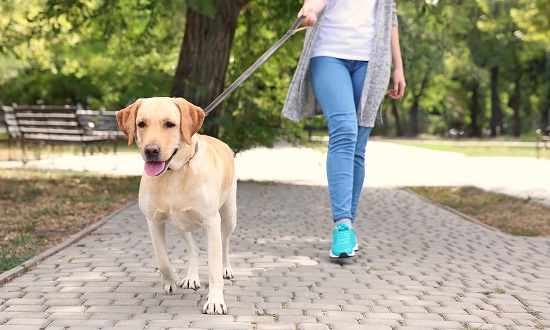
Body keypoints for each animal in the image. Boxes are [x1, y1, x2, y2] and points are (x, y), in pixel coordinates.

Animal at [116, 96, 237, 314]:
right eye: (141, 124)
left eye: (170, 124)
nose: (151, 151)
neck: (174, 173)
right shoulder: (154, 221)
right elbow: (162, 258)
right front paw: (171, 279)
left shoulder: (211, 222)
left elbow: (213, 268)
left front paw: (215, 301)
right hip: (179, 224)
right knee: (193, 249)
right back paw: (190, 277)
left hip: (229, 215)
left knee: (224, 243)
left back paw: (226, 268)